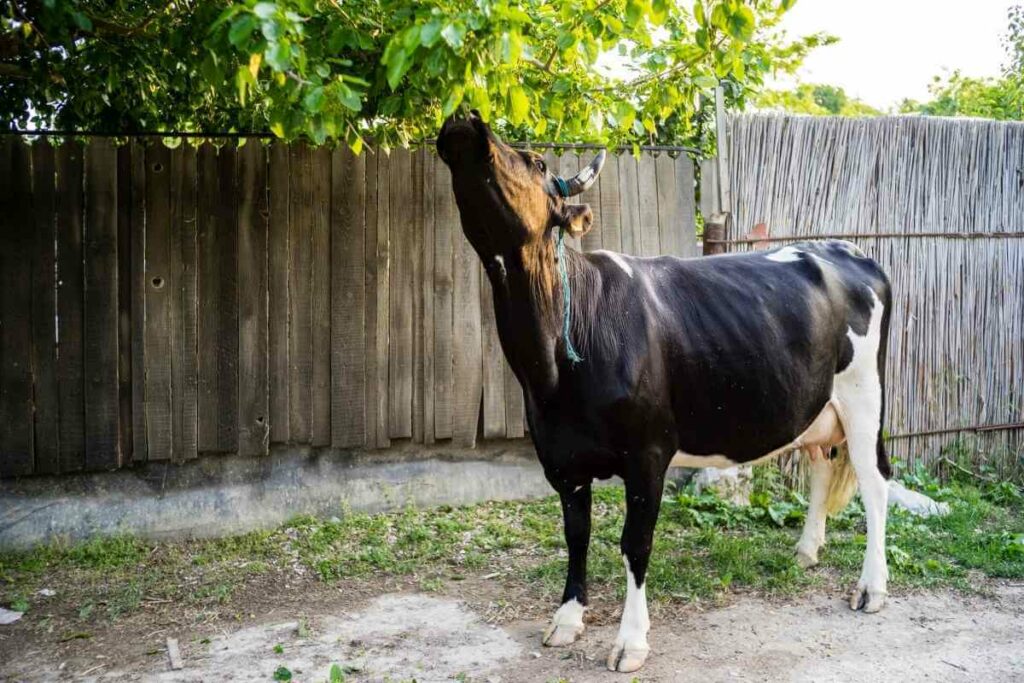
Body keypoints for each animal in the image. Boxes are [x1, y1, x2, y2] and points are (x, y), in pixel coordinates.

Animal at [436, 112, 893, 673]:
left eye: (538, 162)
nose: (465, 118)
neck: (553, 368)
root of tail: (846, 248)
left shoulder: (648, 452)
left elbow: (636, 543)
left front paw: (630, 641)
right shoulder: (560, 457)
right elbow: (577, 535)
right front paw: (566, 619)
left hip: (865, 398)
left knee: (875, 483)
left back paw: (871, 588)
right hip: (816, 405)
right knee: (822, 466)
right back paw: (807, 551)